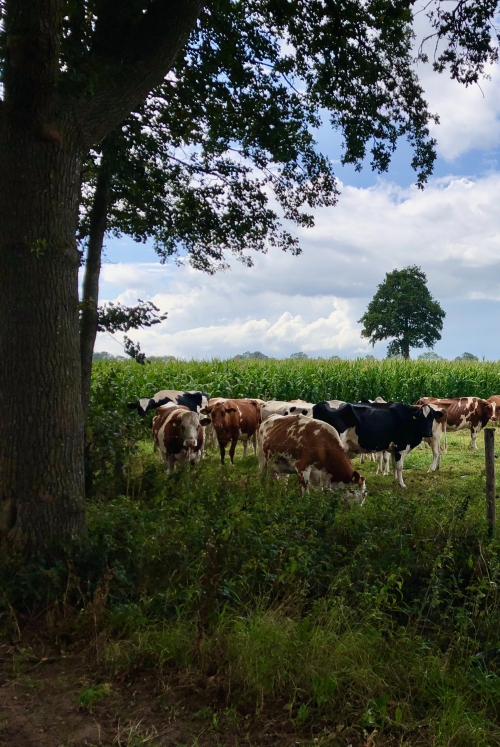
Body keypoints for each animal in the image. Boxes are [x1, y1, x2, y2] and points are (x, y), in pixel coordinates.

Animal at [312, 400, 446, 488]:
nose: (428, 433)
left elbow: (394, 464)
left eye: (432, 417)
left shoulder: (394, 448)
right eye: (420, 417)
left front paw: (395, 480)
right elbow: (400, 466)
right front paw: (402, 484)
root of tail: (320, 404)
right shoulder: (401, 447)